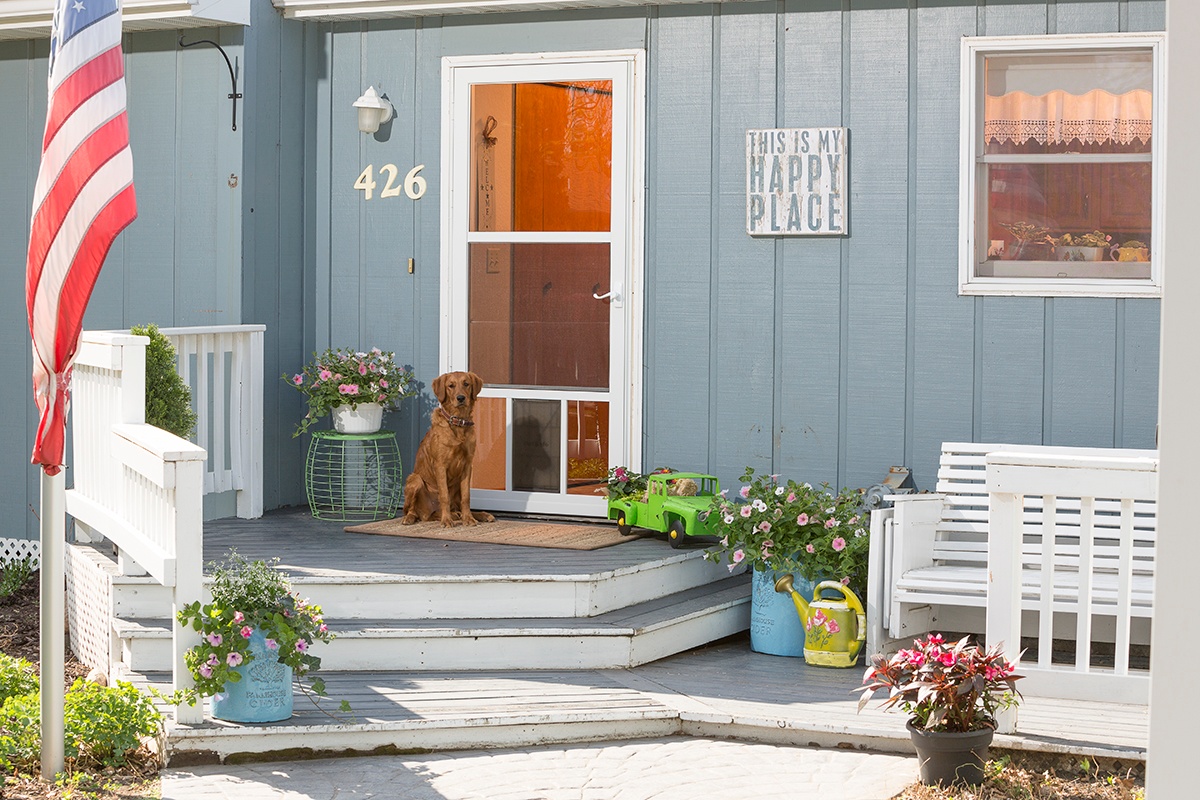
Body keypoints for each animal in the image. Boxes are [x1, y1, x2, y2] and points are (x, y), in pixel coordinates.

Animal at [398, 371, 492, 527]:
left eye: (466, 384)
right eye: (451, 386)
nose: (461, 398)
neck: (458, 422)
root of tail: (428, 512)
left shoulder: (467, 465)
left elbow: (466, 497)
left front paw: (468, 518)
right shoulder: (440, 465)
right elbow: (444, 496)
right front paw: (447, 520)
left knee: (453, 507)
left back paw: (478, 515)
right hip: (415, 479)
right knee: (413, 510)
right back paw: (411, 518)